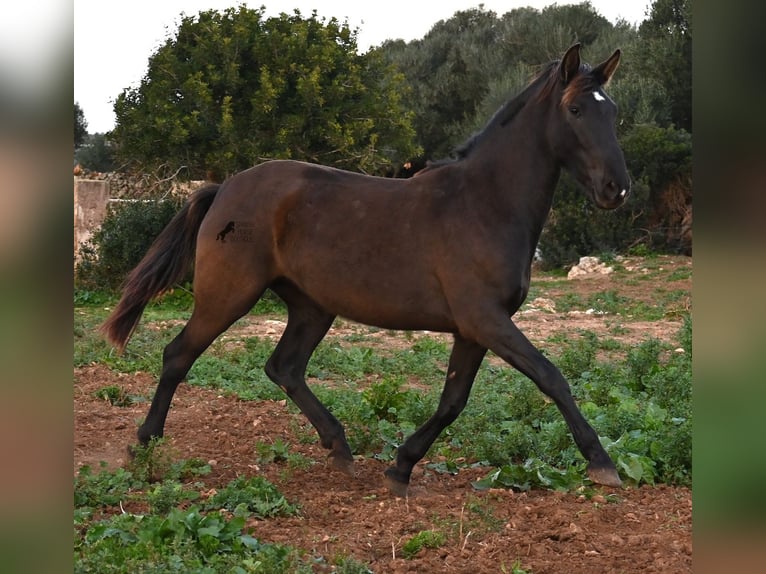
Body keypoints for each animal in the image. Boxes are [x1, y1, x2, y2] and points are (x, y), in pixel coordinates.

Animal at [102, 44, 632, 496]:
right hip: (228, 295)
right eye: (575, 110)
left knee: (284, 367)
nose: (617, 188)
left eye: (612, 111)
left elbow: (453, 401)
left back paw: (339, 446)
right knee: (179, 355)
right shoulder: (486, 319)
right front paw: (602, 463)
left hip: (312, 307)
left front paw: (400, 467)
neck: (485, 203)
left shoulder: (473, 329)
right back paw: (143, 444)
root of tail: (224, 188)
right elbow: (551, 376)